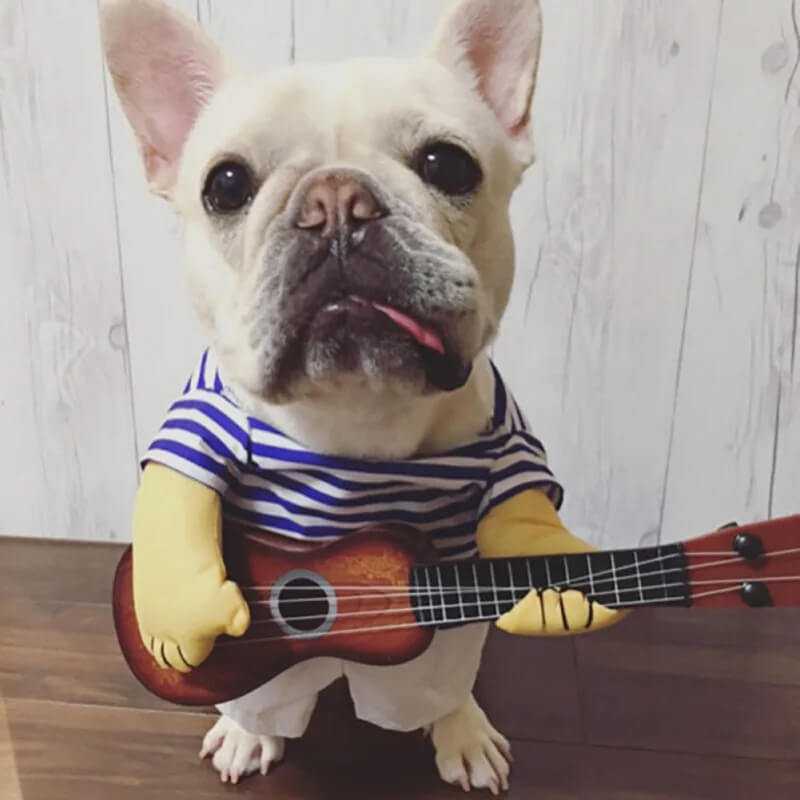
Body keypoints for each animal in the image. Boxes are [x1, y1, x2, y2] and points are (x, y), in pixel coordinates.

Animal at [100, 0, 584, 792]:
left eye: (448, 164)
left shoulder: (505, 443)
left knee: (440, 680)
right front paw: (187, 625)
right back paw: (249, 728)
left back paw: (459, 722)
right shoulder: (205, 419)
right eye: (225, 185)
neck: (357, 405)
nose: (335, 201)